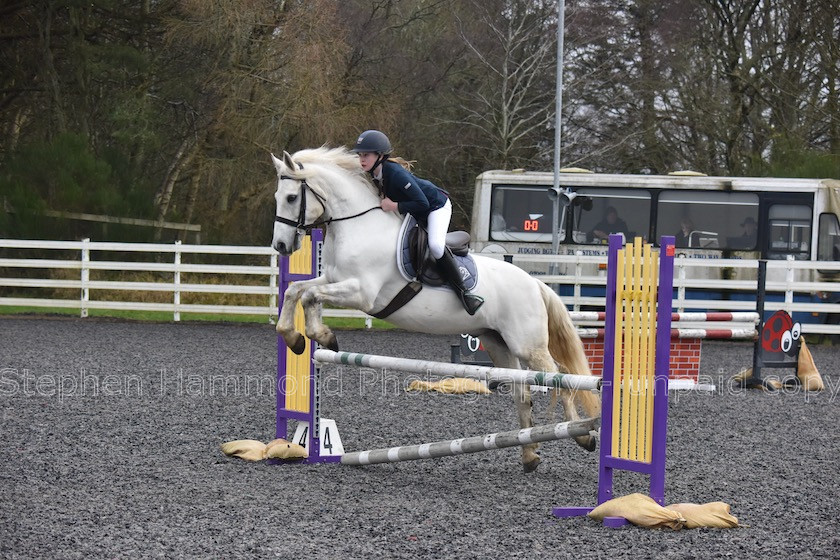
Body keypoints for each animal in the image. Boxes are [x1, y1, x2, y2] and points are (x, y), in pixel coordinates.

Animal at [270, 147, 596, 470]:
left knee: (561, 379)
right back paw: (530, 454)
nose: (281, 246)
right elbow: (296, 291)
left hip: (528, 344)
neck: (359, 226)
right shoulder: (333, 279)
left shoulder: (362, 292)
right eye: (277, 196)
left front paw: (320, 336)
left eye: (291, 198)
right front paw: (298, 338)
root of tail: (535, 283)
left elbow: (310, 295)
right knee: (523, 391)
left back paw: (583, 437)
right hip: (498, 343)